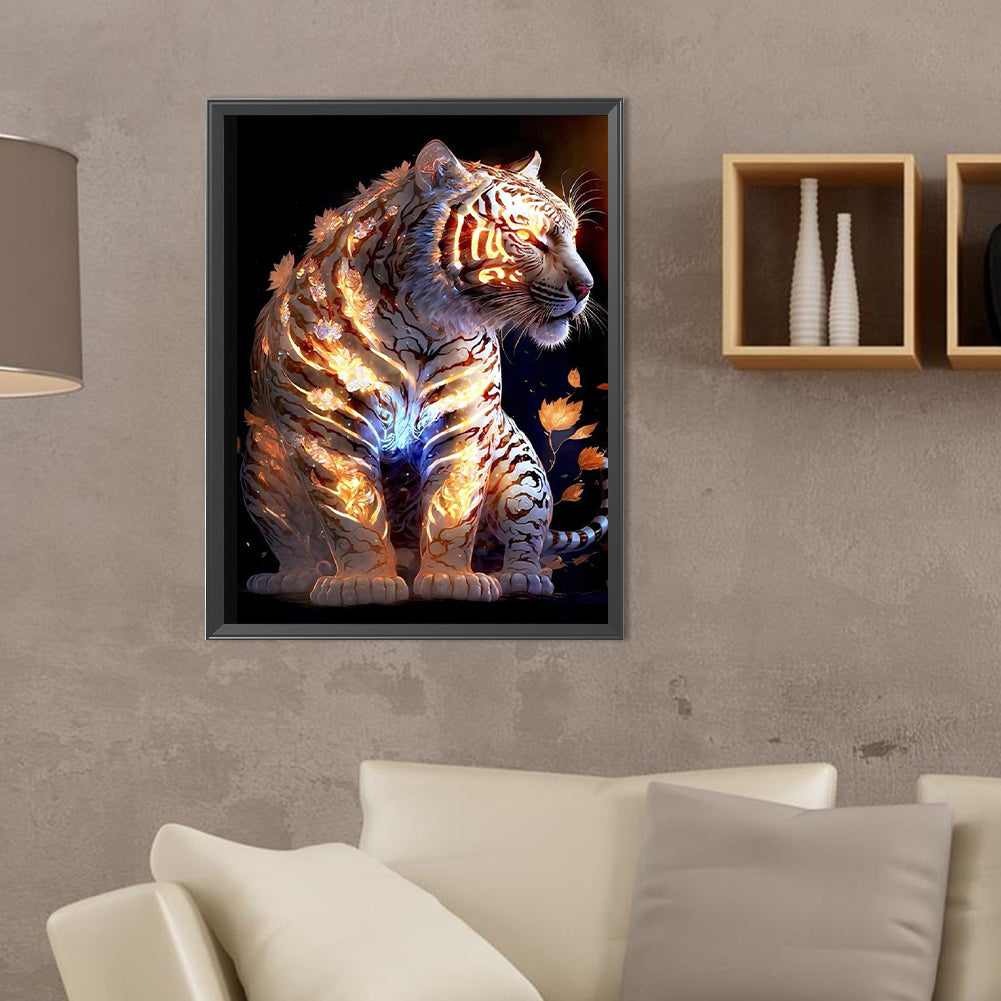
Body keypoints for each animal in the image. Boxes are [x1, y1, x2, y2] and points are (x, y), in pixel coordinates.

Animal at [242, 139, 607, 607]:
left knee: (526, 536)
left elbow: (455, 508)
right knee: (291, 536)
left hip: (523, 474)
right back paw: (296, 576)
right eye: (528, 238)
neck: (421, 327)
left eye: (574, 236)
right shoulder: (329, 427)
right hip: (261, 467)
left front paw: (452, 579)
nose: (586, 288)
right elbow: (353, 514)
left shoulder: (466, 424)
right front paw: (365, 582)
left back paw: (522, 577)